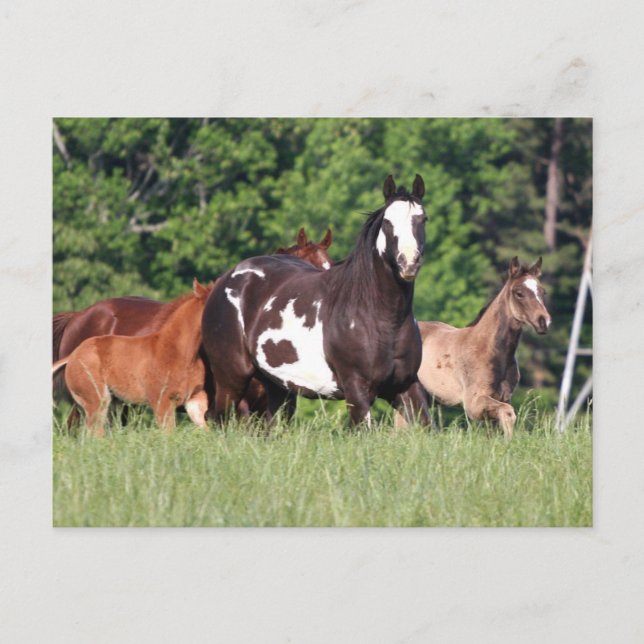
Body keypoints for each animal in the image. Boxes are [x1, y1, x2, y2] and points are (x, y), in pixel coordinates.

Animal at [52, 279, 213, 436]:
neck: (179, 351)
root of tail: (73, 354)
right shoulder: (162, 402)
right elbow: (169, 436)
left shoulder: (195, 400)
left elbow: (207, 433)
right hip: (96, 401)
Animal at [201, 175, 430, 427]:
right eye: (388, 222)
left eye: (423, 219)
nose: (408, 262)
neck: (380, 318)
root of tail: (227, 279)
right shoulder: (357, 390)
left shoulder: (405, 386)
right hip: (232, 380)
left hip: (277, 388)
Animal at [395, 257, 552, 439]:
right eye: (519, 293)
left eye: (542, 292)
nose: (544, 322)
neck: (490, 349)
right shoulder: (473, 403)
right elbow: (508, 413)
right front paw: (510, 442)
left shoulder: (503, 397)